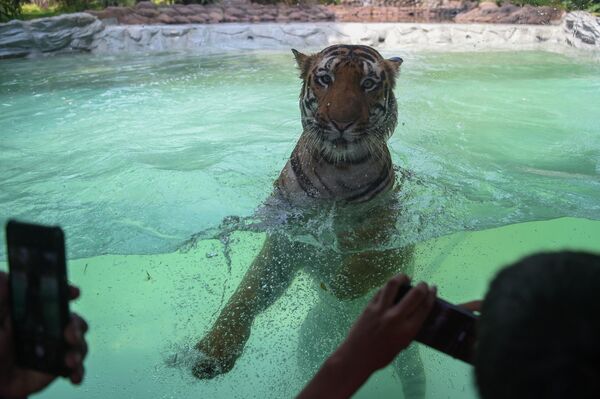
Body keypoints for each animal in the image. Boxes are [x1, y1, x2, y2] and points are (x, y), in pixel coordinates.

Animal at [195, 44, 424, 399]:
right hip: (308, 344)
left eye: (369, 84)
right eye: (325, 79)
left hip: (410, 362)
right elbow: (246, 294)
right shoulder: (285, 244)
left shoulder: (399, 236)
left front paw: (340, 279)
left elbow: (369, 259)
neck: (339, 169)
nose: (341, 122)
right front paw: (213, 352)